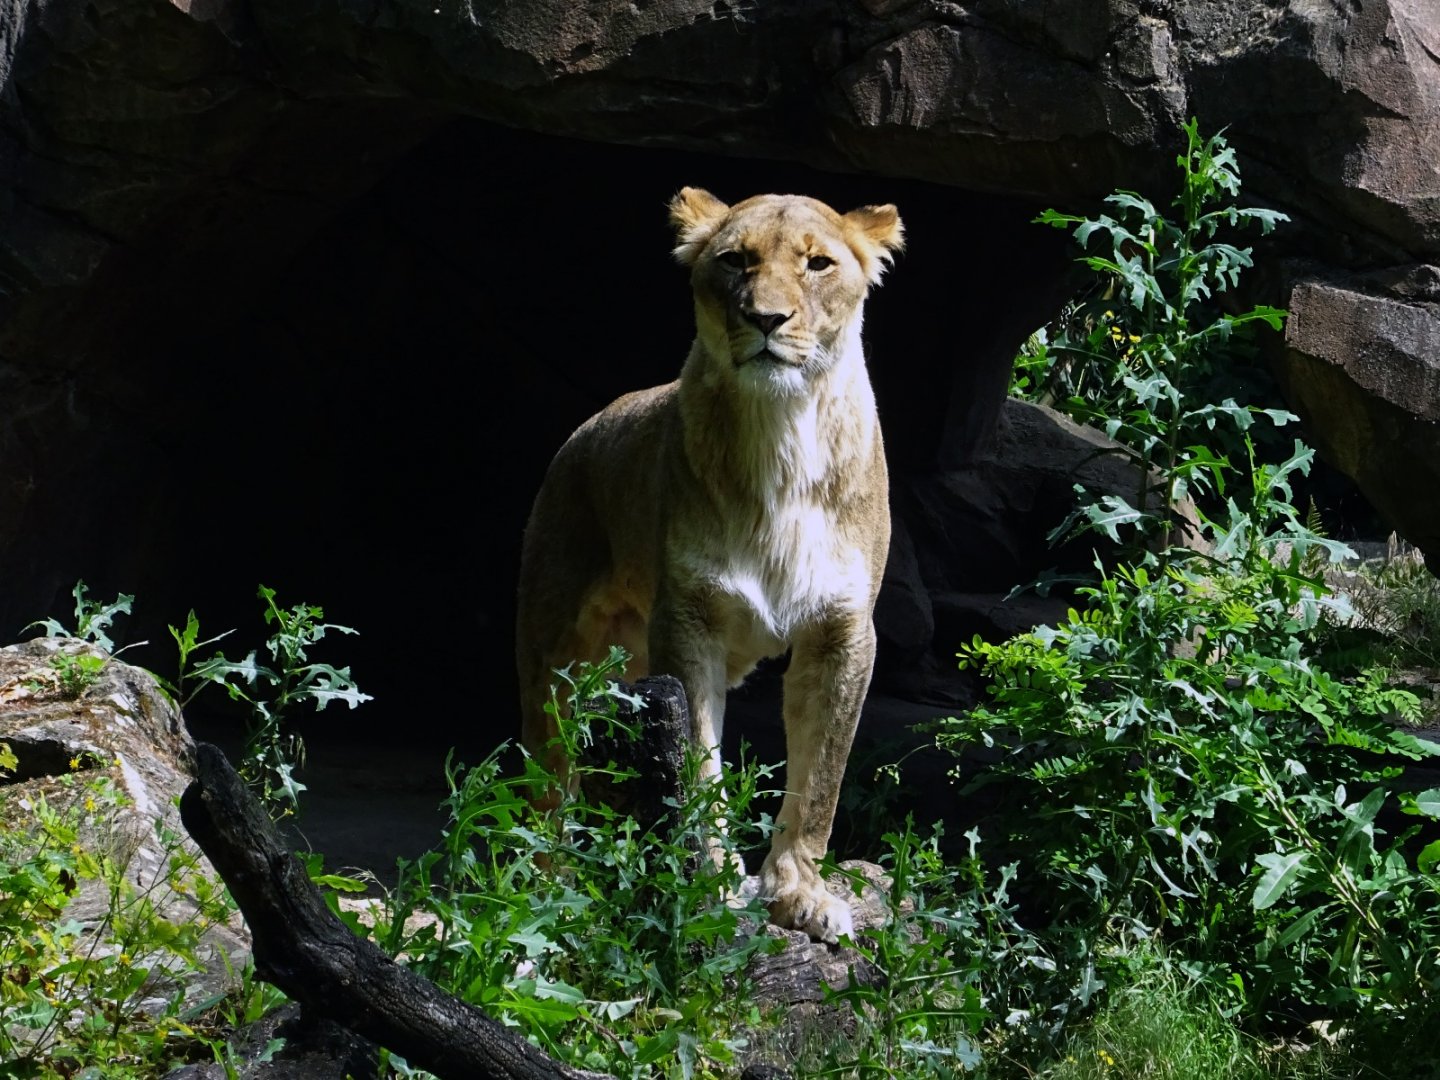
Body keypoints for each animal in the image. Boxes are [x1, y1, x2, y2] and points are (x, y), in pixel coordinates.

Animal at [515, 186, 903, 943]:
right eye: (735, 261)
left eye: (817, 263)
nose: (766, 318)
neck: (784, 435)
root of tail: (579, 435)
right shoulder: (688, 621)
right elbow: (699, 765)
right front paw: (712, 885)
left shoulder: (843, 631)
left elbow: (820, 778)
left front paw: (800, 894)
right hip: (555, 659)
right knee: (548, 779)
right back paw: (551, 890)